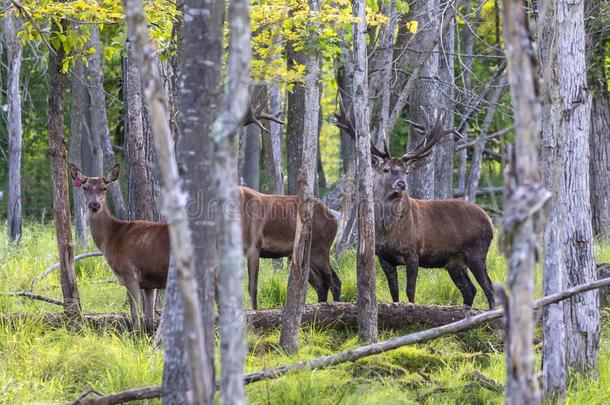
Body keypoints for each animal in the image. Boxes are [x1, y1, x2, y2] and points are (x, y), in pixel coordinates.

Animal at [69, 163, 166, 330]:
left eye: (104, 188)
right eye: (85, 187)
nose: (94, 204)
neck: (111, 237)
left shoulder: (129, 272)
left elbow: (135, 315)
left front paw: (135, 334)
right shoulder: (149, 283)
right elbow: (149, 318)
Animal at [334, 109, 496, 308]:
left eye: (406, 171)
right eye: (386, 169)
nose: (402, 184)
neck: (388, 231)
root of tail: (490, 221)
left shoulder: (413, 252)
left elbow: (410, 290)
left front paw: (411, 308)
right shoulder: (383, 257)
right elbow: (394, 291)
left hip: (477, 251)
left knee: (489, 288)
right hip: (455, 262)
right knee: (470, 289)